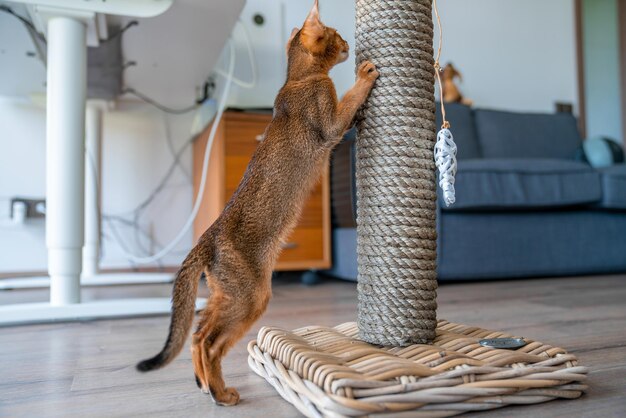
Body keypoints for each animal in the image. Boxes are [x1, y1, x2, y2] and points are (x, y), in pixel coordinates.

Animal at [137, 0, 378, 404]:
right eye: (337, 36)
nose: (348, 44)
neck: (295, 80)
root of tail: (207, 237)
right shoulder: (329, 125)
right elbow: (347, 101)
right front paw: (364, 75)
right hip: (251, 295)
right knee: (210, 342)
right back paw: (221, 394)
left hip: (227, 294)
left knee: (197, 335)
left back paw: (206, 385)